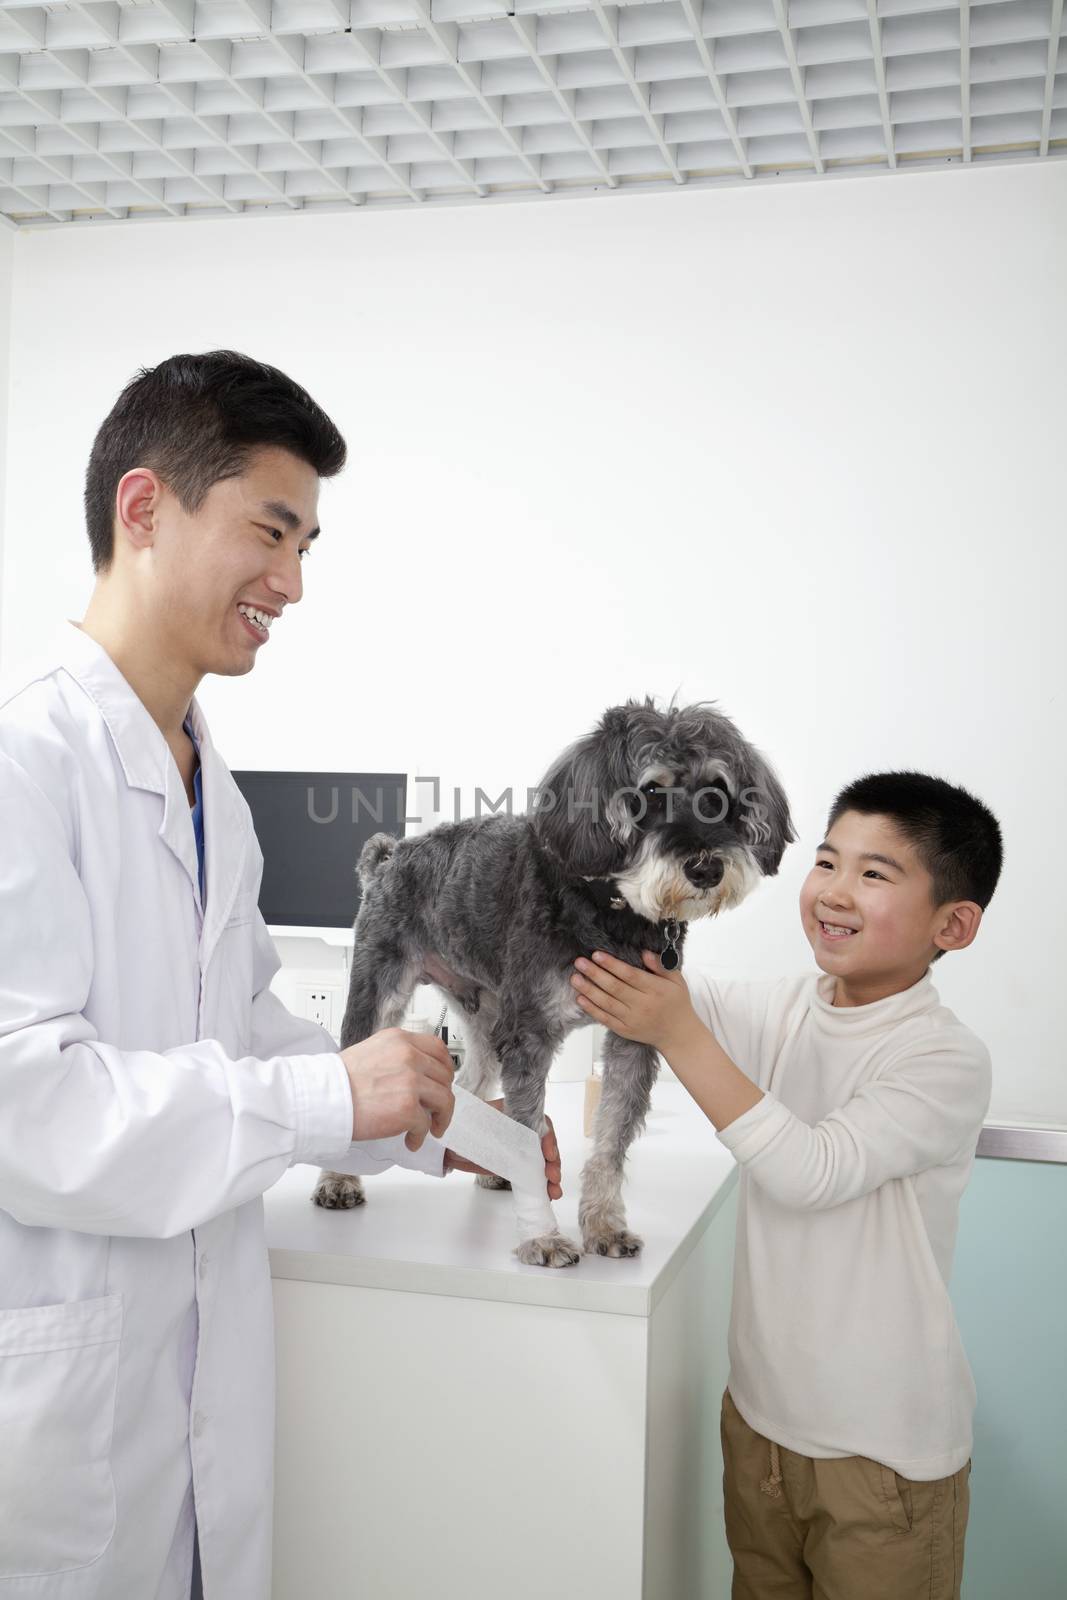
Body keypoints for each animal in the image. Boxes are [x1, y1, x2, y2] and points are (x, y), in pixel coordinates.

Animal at [310, 697, 793, 1260]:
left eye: (718, 792)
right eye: (651, 792)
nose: (706, 869)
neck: (605, 908)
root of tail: (389, 858)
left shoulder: (634, 1035)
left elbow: (610, 1140)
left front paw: (604, 1226)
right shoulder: (530, 1035)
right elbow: (527, 1141)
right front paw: (540, 1235)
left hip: (486, 1015)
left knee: (469, 1084)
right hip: (380, 991)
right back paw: (338, 1180)